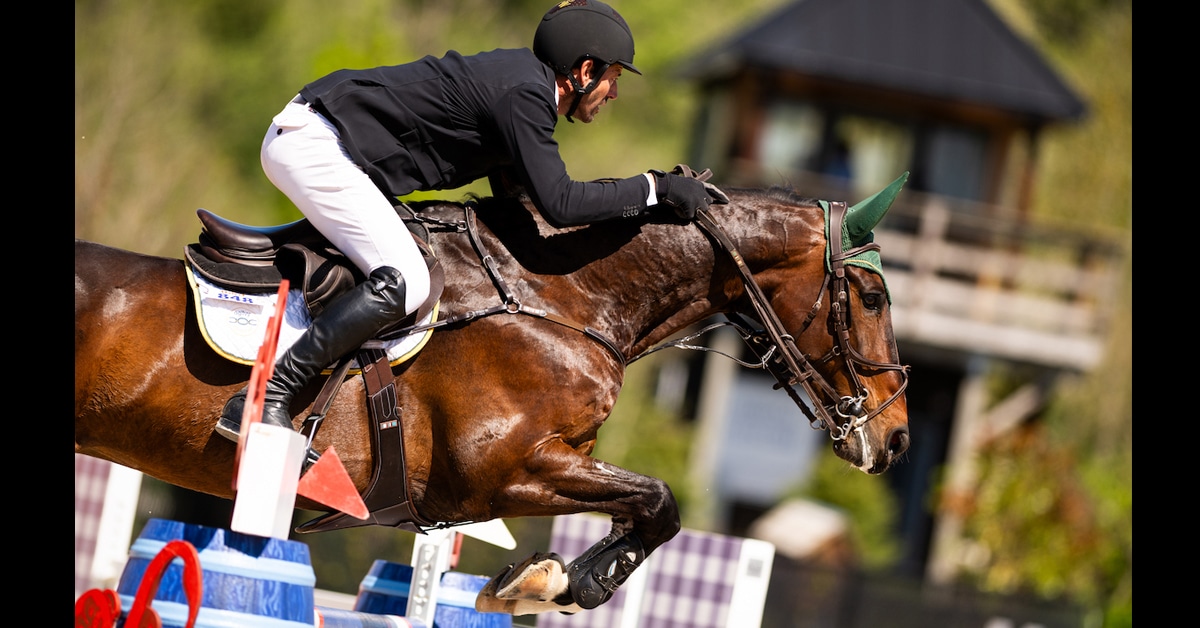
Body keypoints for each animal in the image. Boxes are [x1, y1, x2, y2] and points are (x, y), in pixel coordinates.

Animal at [74, 176, 911, 616]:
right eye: (871, 297)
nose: (897, 438)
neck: (561, 298)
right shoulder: (501, 471)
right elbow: (660, 500)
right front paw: (560, 582)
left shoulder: (551, 465)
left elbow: (646, 505)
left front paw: (547, 580)